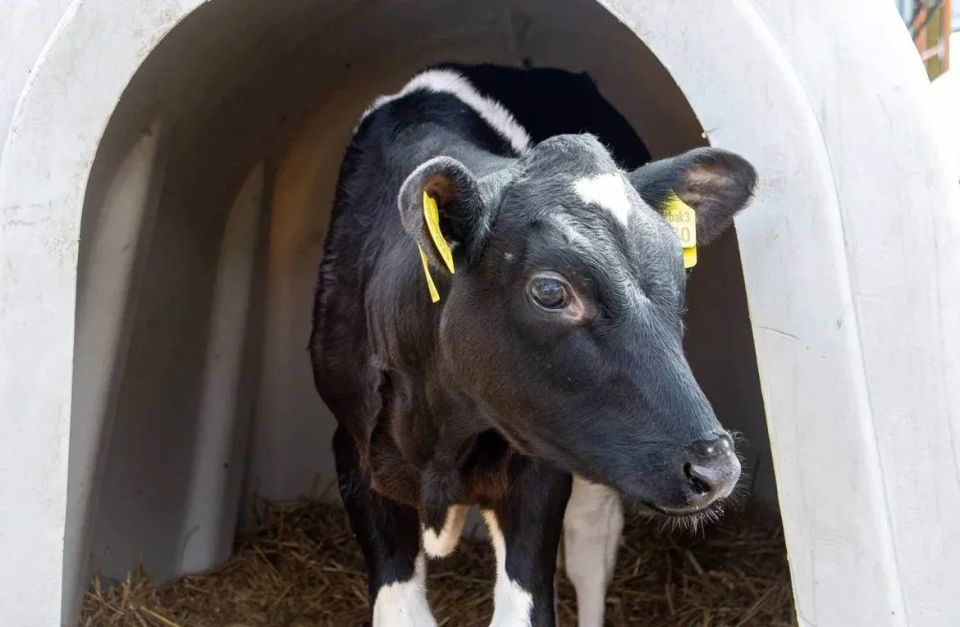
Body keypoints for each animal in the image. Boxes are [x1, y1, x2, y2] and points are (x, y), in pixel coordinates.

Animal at [310, 64, 756, 627]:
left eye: (679, 272)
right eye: (549, 291)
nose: (715, 468)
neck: (441, 434)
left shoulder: (538, 474)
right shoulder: (353, 451)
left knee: (591, 546)